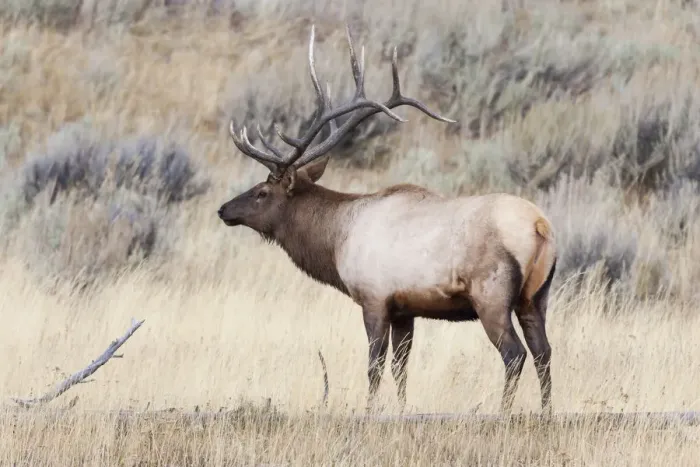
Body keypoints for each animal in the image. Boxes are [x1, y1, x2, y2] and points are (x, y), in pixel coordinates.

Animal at [217, 24, 557, 415]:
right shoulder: (404, 310)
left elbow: (375, 366)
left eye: (261, 191)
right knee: (544, 352)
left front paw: (370, 410)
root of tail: (540, 226)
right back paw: (546, 412)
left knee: (514, 354)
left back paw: (504, 411)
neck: (336, 240)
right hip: (535, 297)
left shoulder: (374, 299)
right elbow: (400, 367)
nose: (224, 210)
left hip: (492, 295)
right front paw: (401, 409)